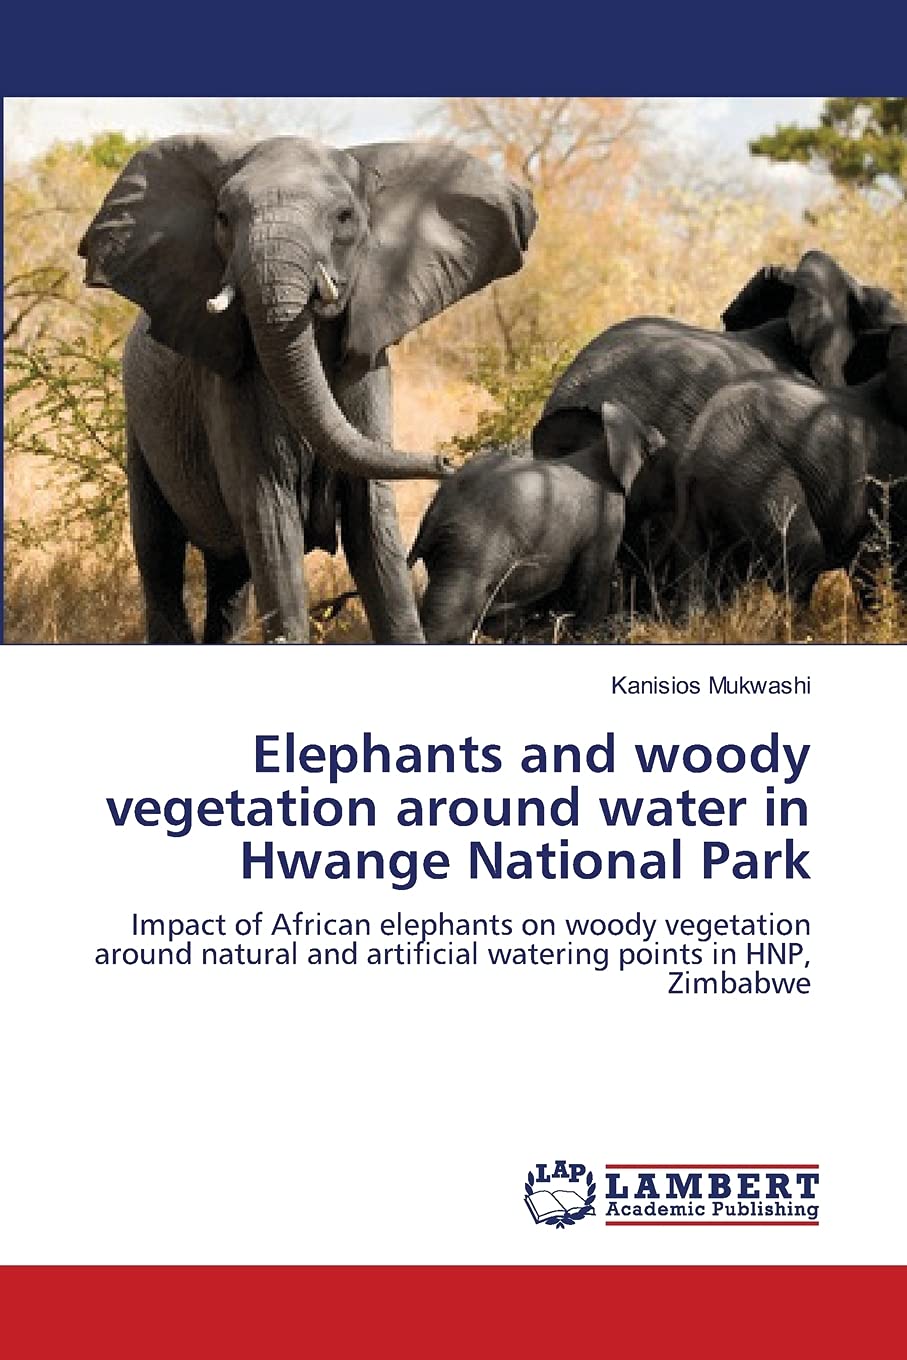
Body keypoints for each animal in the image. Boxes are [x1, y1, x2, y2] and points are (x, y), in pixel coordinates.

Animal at [78, 135, 536, 642]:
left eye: (344, 217)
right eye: (223, 217)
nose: (446, 461)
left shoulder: (368, 368)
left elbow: (370, 521)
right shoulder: (232, 386)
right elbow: (271, 515)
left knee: (229, 578)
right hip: (140, 427)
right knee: (159, 551)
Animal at [407, 403, 666, 642]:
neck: (605, 446)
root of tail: (438, 506)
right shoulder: (607, 515)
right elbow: (593, 579)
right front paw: (588, 636)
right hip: (470, 545)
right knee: (451, 615)